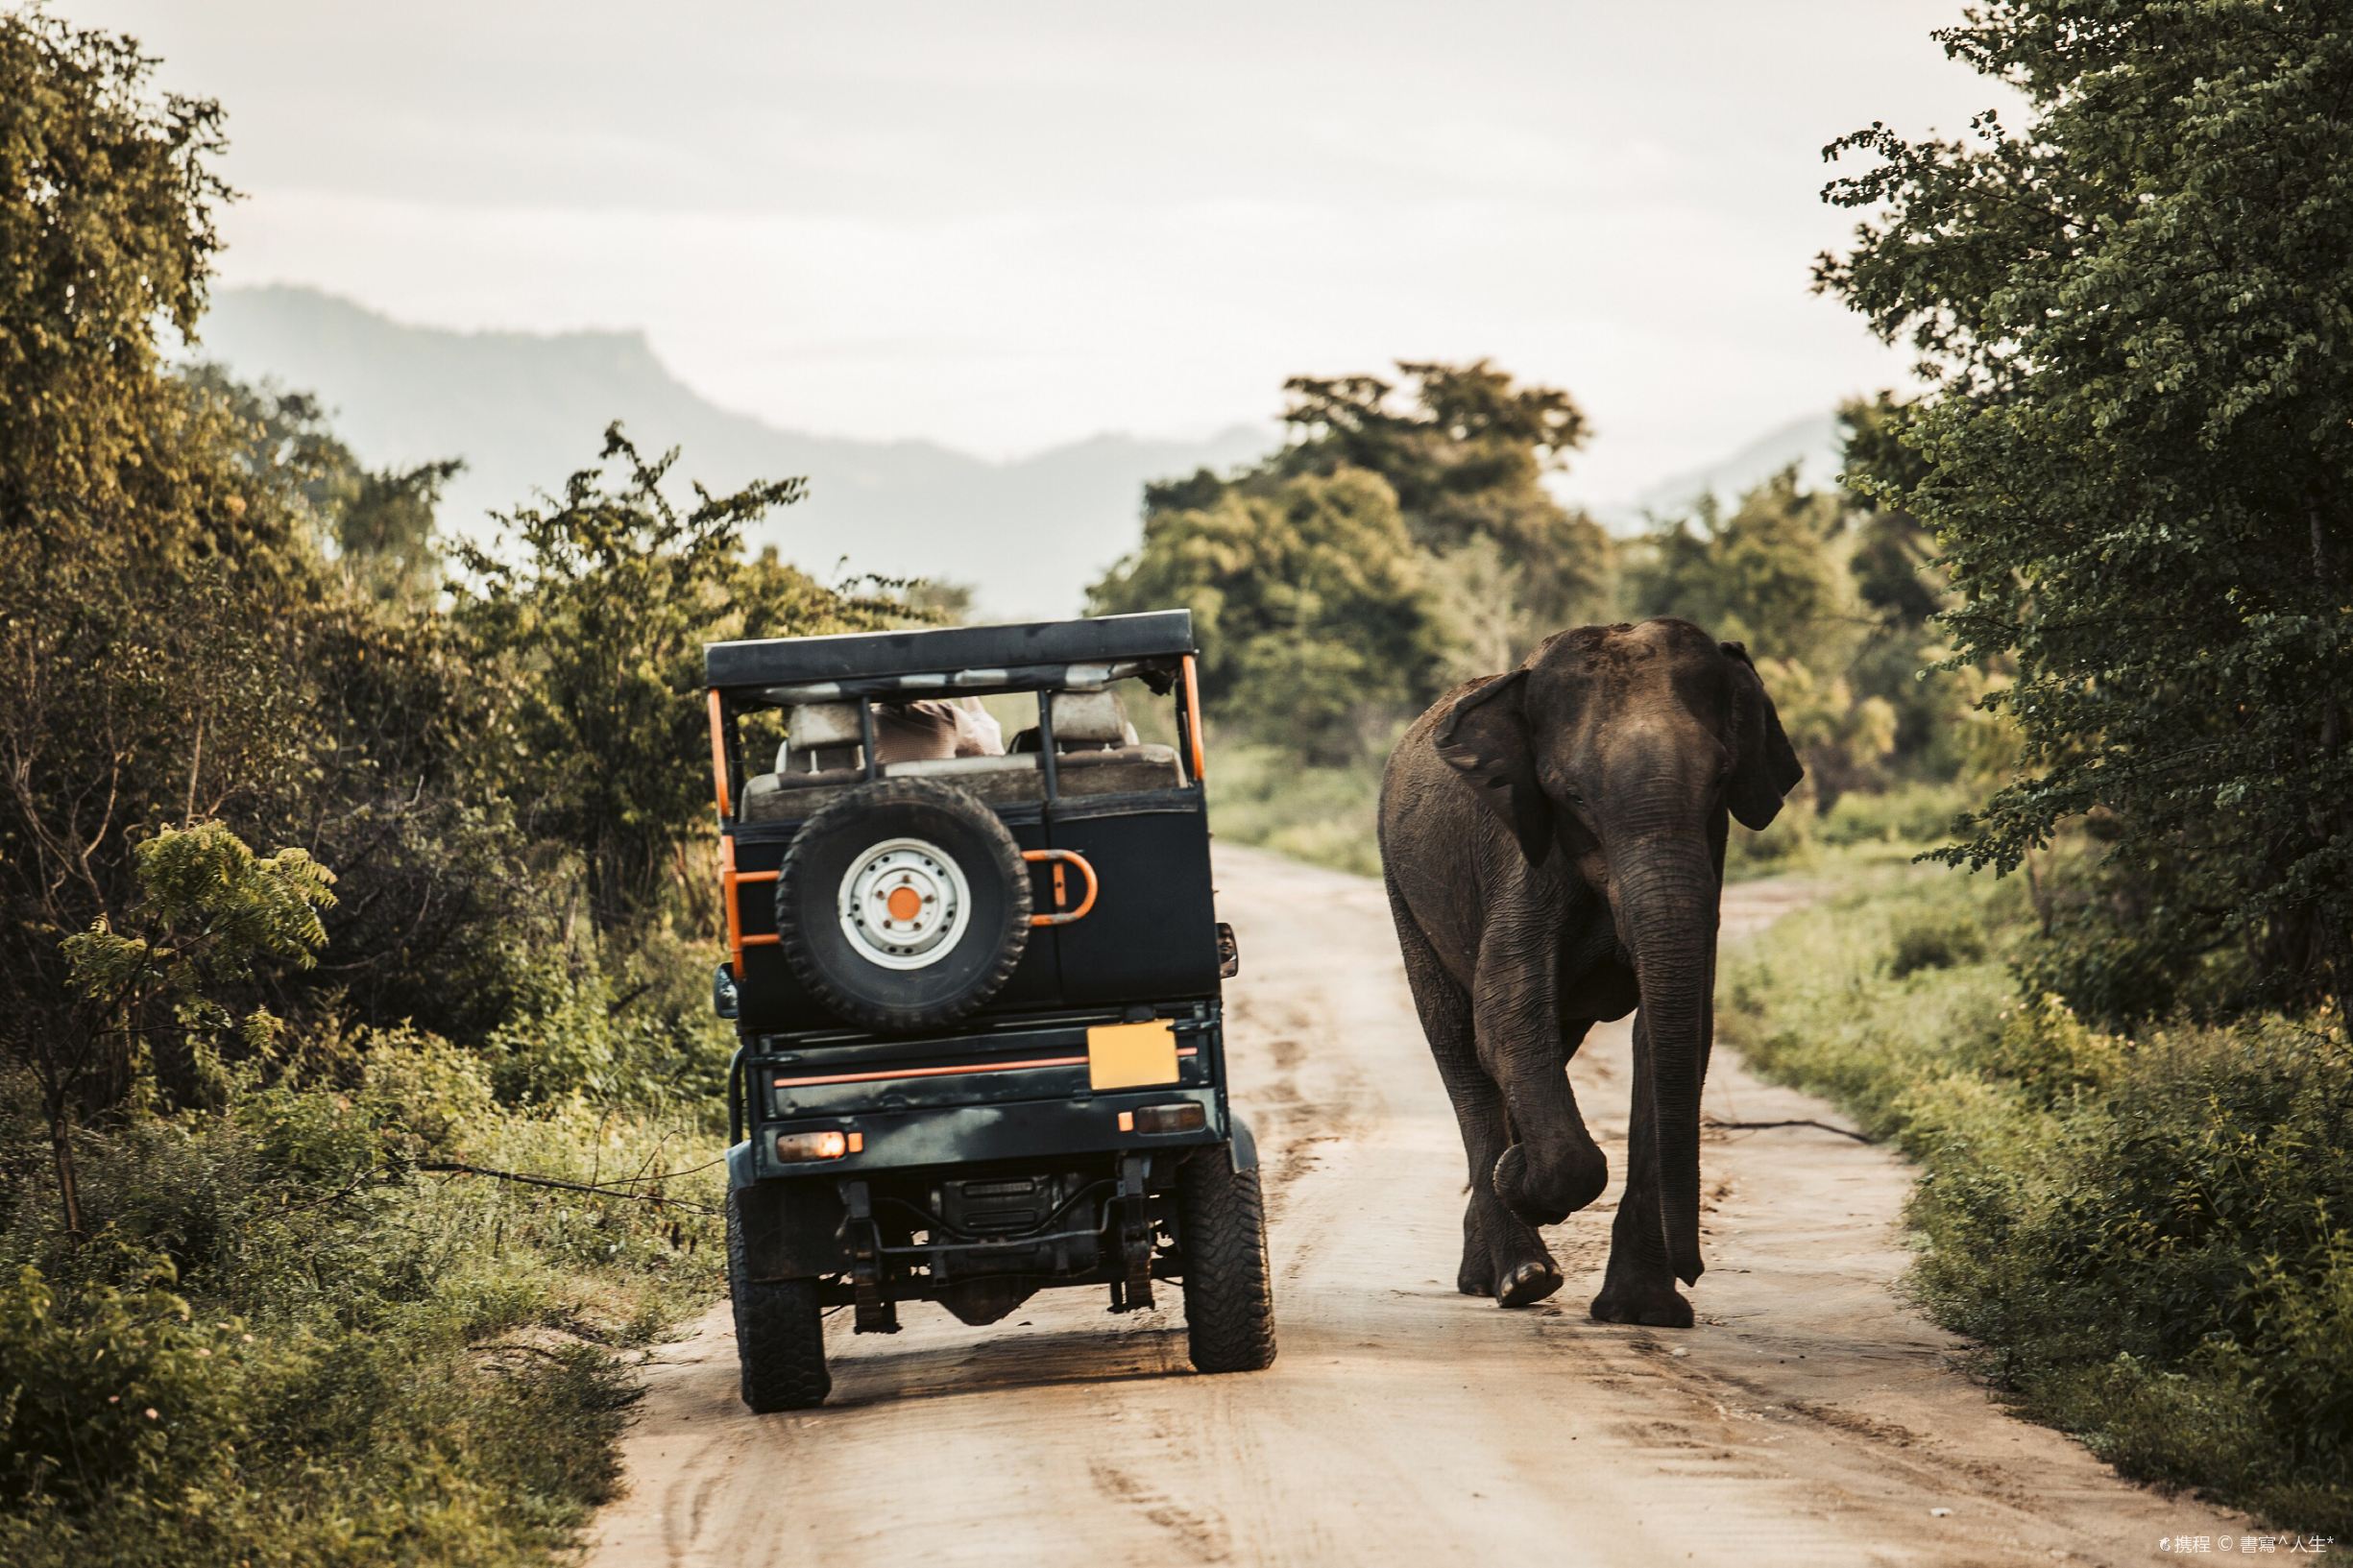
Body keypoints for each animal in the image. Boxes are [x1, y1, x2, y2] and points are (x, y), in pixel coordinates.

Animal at [1373, 620, 1797, 1325]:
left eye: (1721, 780)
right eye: (1571, 795)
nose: (1695, 1271)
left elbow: (1674, 1032)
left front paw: (1642, 1313)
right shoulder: (1522, 856)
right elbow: (1505, 1012)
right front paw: (1518, 1177)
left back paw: (1493, 1265)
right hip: (1404, 891)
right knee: (1461, 1048)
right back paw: (1520, 1276)